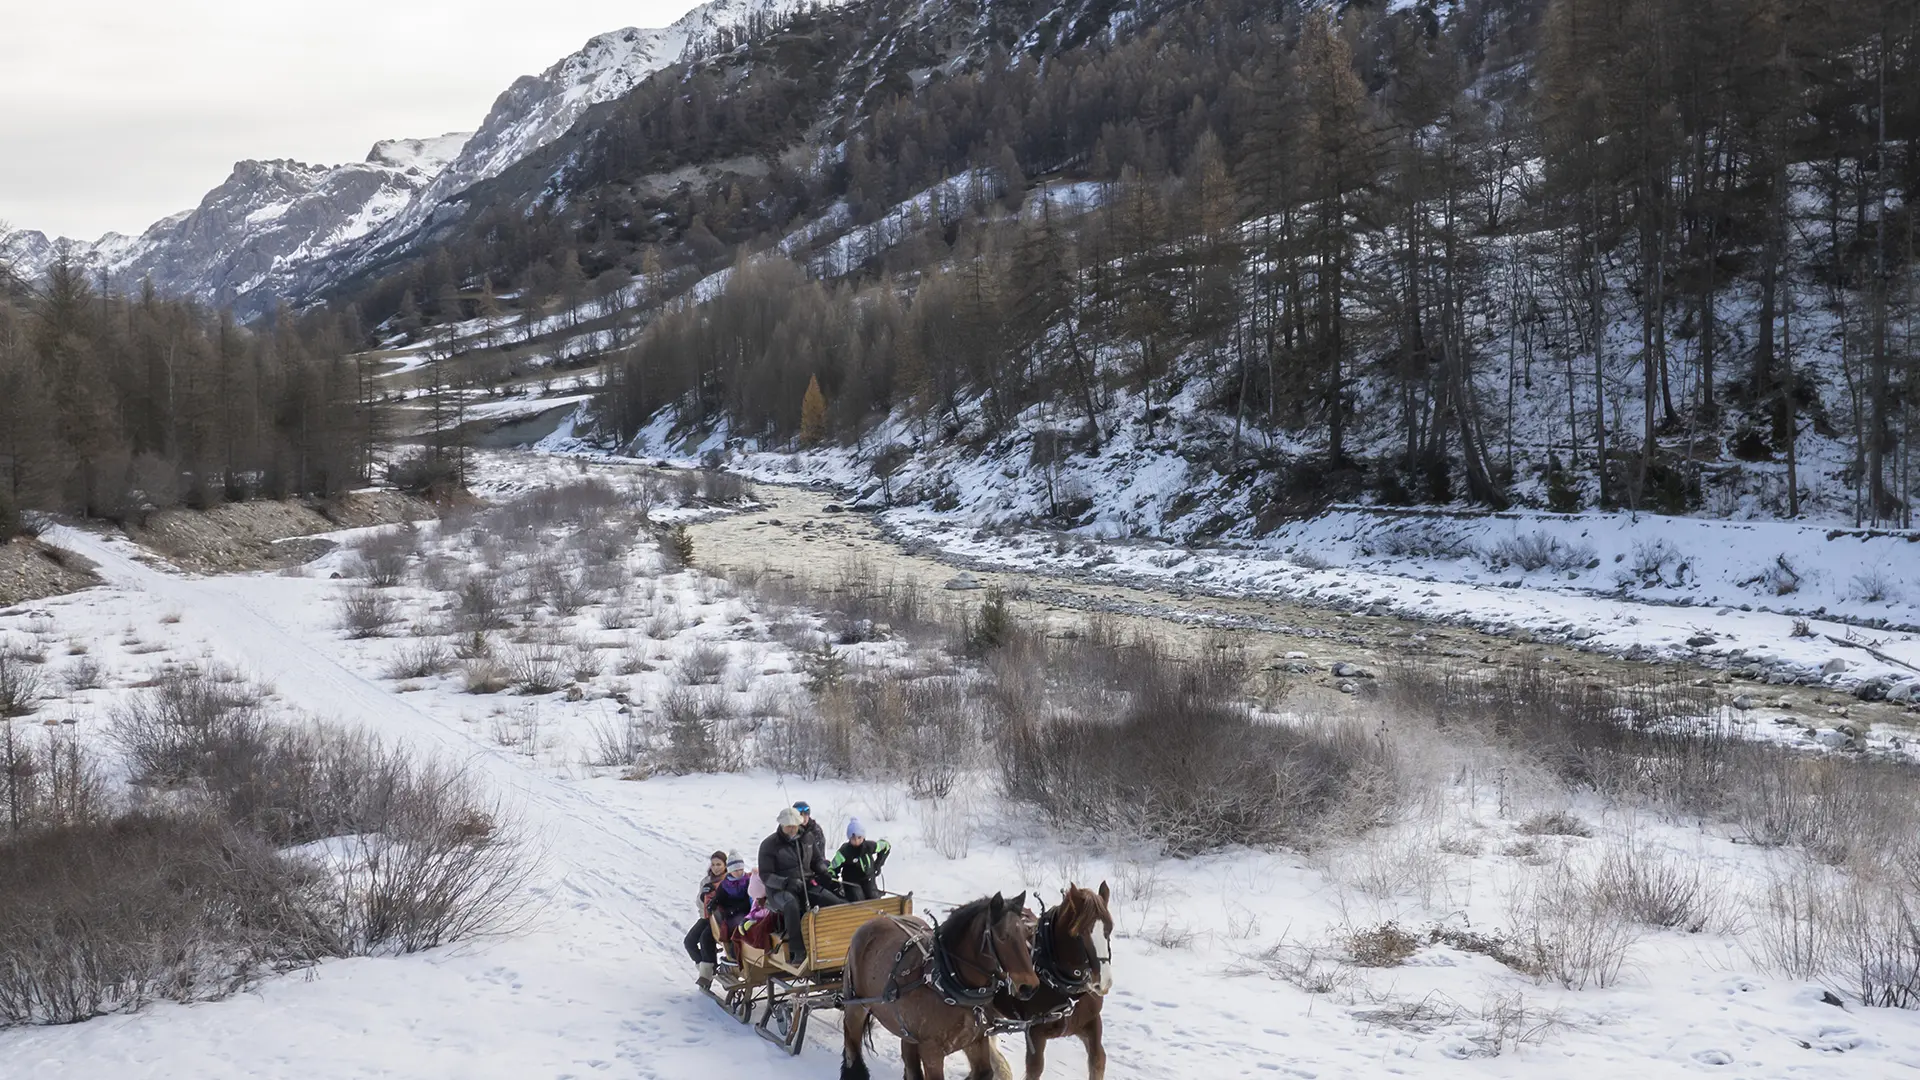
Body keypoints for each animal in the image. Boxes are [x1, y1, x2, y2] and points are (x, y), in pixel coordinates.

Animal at [844, 891, 1044, 1076]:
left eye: (1028, 935)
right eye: (1002, 937)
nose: (1029, 987)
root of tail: (871, 921)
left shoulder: (977, 1041)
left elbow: (985, 1072)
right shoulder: (931, 1052)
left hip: (906, 1032)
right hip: (856, 1007)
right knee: (852, 1050)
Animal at [998, 883, 1121, 1076]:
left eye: (1109, 929)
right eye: (1079, 934)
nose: (1104, 982)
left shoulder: (1092, 1024)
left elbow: (1098, 1061)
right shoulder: (1035, 1033)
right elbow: (1035, 1068)